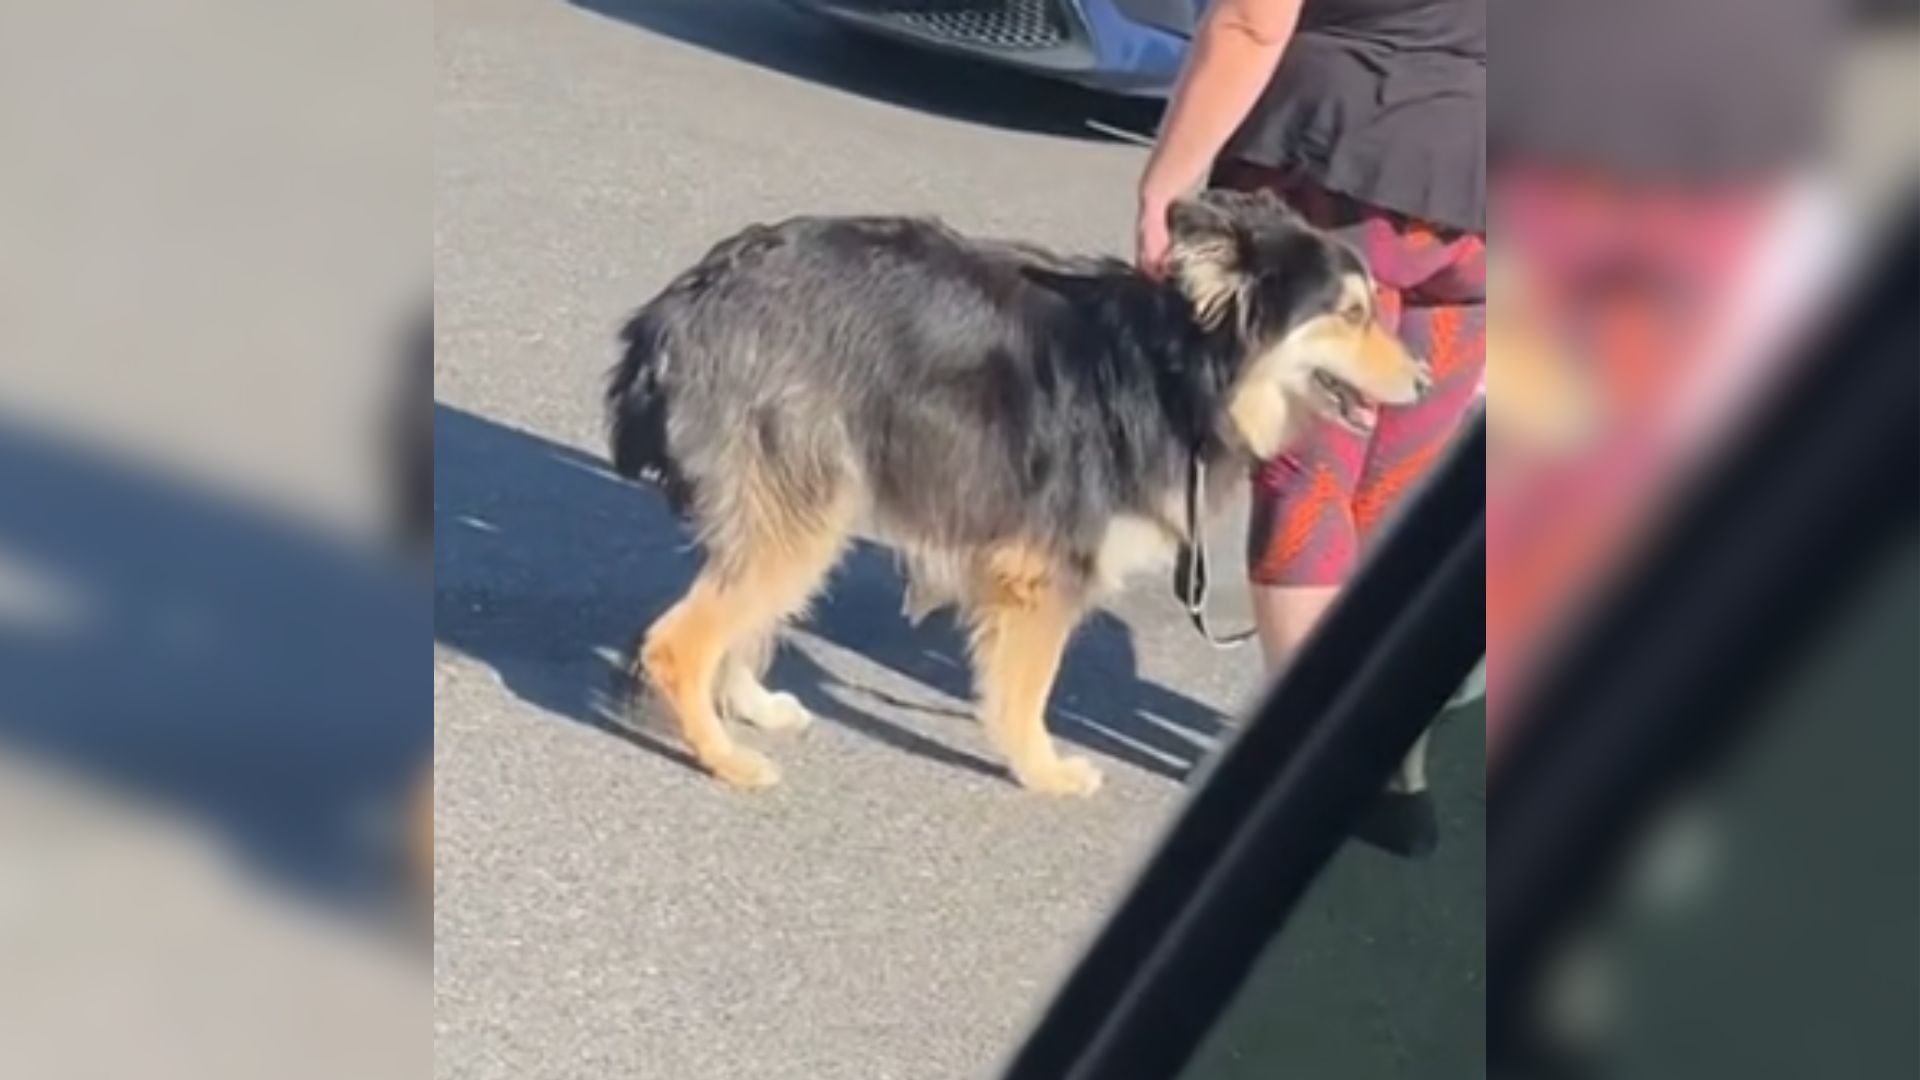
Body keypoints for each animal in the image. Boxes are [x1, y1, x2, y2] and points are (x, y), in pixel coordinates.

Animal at [606, 189, 1436, 791]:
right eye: (1353, 315)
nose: (1428, 382)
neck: (1181, 368)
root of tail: (681, 304)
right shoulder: (1047, 571)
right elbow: (1030, 690)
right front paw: (1044, 772)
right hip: (804, 507)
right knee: (679, 644)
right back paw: (725, 757)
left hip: (806, 506)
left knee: (742, 619)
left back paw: (748, 706)